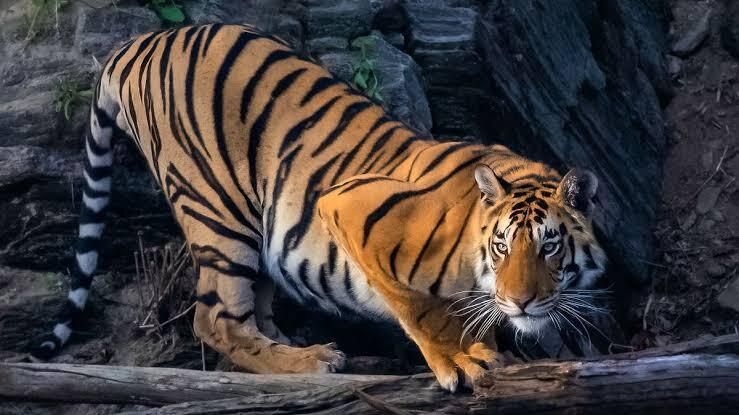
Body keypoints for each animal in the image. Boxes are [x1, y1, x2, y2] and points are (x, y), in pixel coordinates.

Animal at [33, 23, 607, 391]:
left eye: (549, 247)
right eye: (502, 246)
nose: (521, 302)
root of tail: (139, 43)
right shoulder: (353, 210)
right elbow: (421, 309)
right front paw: (460, 361)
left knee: (253, 310)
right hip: (218, 210)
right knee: (216, 319)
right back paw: (313, 363)